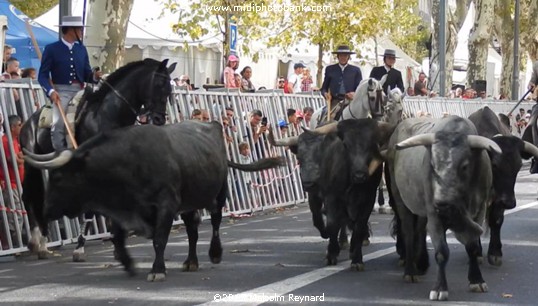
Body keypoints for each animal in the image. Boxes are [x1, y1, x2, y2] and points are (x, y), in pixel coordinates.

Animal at [24, 121, 284, 282]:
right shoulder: (122, 209)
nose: (45, 211)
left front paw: (157, 270)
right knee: (192, 231)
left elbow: (160, 239)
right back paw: (190, 261)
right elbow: (118, 238)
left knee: (216, 222)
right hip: (189, 203)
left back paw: (215, 253)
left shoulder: (166, 205)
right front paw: (128, 264)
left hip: (219, 193)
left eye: (58, 178)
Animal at [386, 116, 498, 302]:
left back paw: (420, 264)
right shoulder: (435, 215)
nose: (442, 202)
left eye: (464, 166)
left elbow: (473, 246)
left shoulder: (479, 212)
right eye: (433, 165)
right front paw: (439, 288)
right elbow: (441, 252)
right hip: (400, 199)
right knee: (408, 232)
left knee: (419, 229)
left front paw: (476, 280)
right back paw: (410, 271)